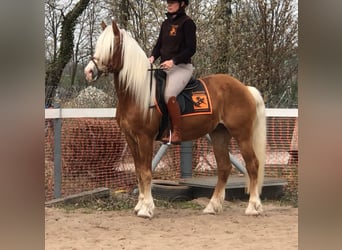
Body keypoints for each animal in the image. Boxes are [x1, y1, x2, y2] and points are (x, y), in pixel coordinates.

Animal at [84, 20, 266, 218]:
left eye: (110, 47)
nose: (89, 71)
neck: (137, 93)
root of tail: (244, 88)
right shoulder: (131, 138)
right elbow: (138, 171)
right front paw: (140, 205)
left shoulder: (145, 138)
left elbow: (146, 172)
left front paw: (147, 208)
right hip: (219, 134)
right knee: (224, 167)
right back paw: (212, 206)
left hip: (242, 135)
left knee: (253, 165)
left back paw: (253, 206)